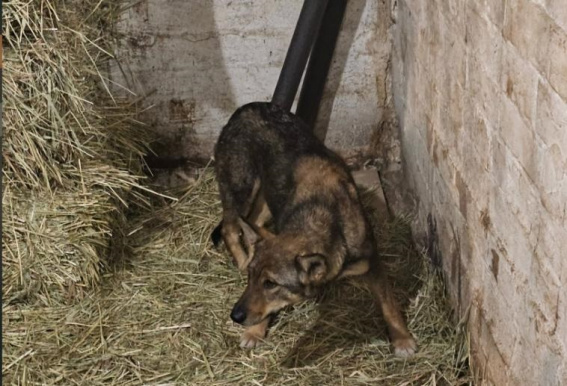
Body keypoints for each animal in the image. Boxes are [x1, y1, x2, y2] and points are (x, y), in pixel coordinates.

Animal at [213, 102, 418, 356]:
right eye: (252, 278)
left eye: (270, 284)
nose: (235, 316)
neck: (322, 216)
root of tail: (245, 109)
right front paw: (255, 331)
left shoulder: (372, 263)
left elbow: (389, 304)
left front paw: (402, 339)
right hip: (241, 190)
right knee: (229, 228)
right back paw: (242, 259)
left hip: (262, 196)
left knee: (252, 222)